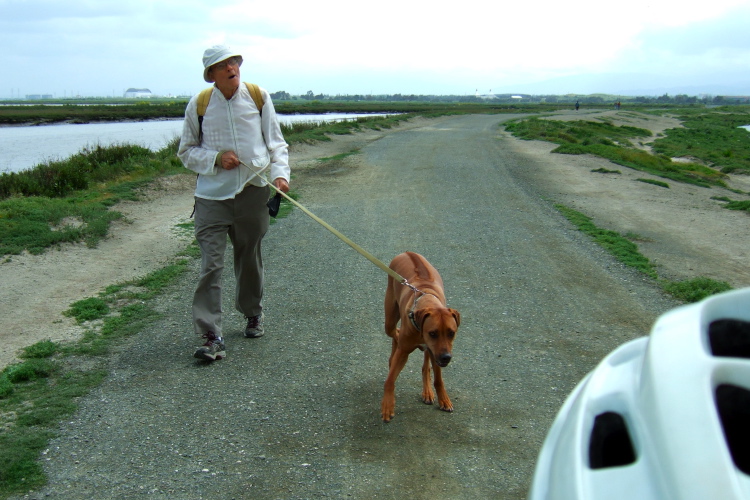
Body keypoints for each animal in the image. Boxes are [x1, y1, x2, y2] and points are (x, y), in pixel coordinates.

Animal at [384, 250, 462, 422]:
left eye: (451, 333)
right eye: (432, 333)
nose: (446, 357)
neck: (427, 297)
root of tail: (407, 252)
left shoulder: (436, 351)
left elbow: (438, 379)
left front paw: (444, 399)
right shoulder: (406, 350)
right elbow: (390, 380)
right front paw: (387, 405)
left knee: (426, 365)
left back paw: (427, 391)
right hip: (390, 318)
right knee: (394, 332)